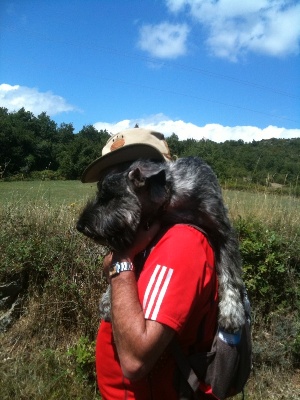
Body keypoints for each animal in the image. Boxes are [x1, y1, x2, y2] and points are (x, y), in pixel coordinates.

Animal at [77, 156, 246, 332]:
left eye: (108, 198)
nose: (79, 226)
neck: (171, 197)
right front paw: (107, 298)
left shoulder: (224, 233)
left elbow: (230, 273)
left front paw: (231, 311)